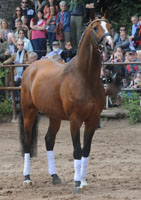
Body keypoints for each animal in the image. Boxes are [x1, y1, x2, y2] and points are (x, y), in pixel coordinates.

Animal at [19, 16, 113, 193]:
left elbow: (86, 150)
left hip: (54, 117)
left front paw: (83, 181)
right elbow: (77, 150)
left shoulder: (92, 120)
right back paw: (27, 178)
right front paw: (77, 183)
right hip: (29, 112)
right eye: (95, 28)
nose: (109, 44)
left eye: (110, 26)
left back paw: (54, 176)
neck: (85, 77)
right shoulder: (75, 120)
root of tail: (30, 68)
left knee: (49, 140)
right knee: (27, 142)